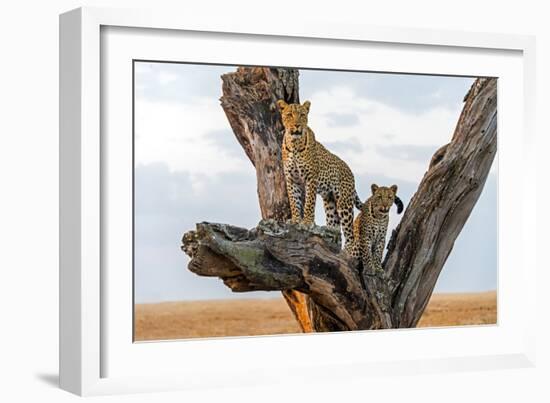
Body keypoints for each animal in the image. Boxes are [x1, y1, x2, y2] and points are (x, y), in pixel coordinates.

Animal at [278, 99, 364, 249]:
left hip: (344, 204)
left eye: (302, 115)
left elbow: (309, 203)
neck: (294, 144)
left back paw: (347, 250)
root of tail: (350, 172)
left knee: (350, 234)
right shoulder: (291, 179)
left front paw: (307, 222)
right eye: (289, 115)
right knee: (335, 228)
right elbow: (294, 201)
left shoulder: (310, 178)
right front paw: (295, 220)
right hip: (330, 203)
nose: (297, 125)